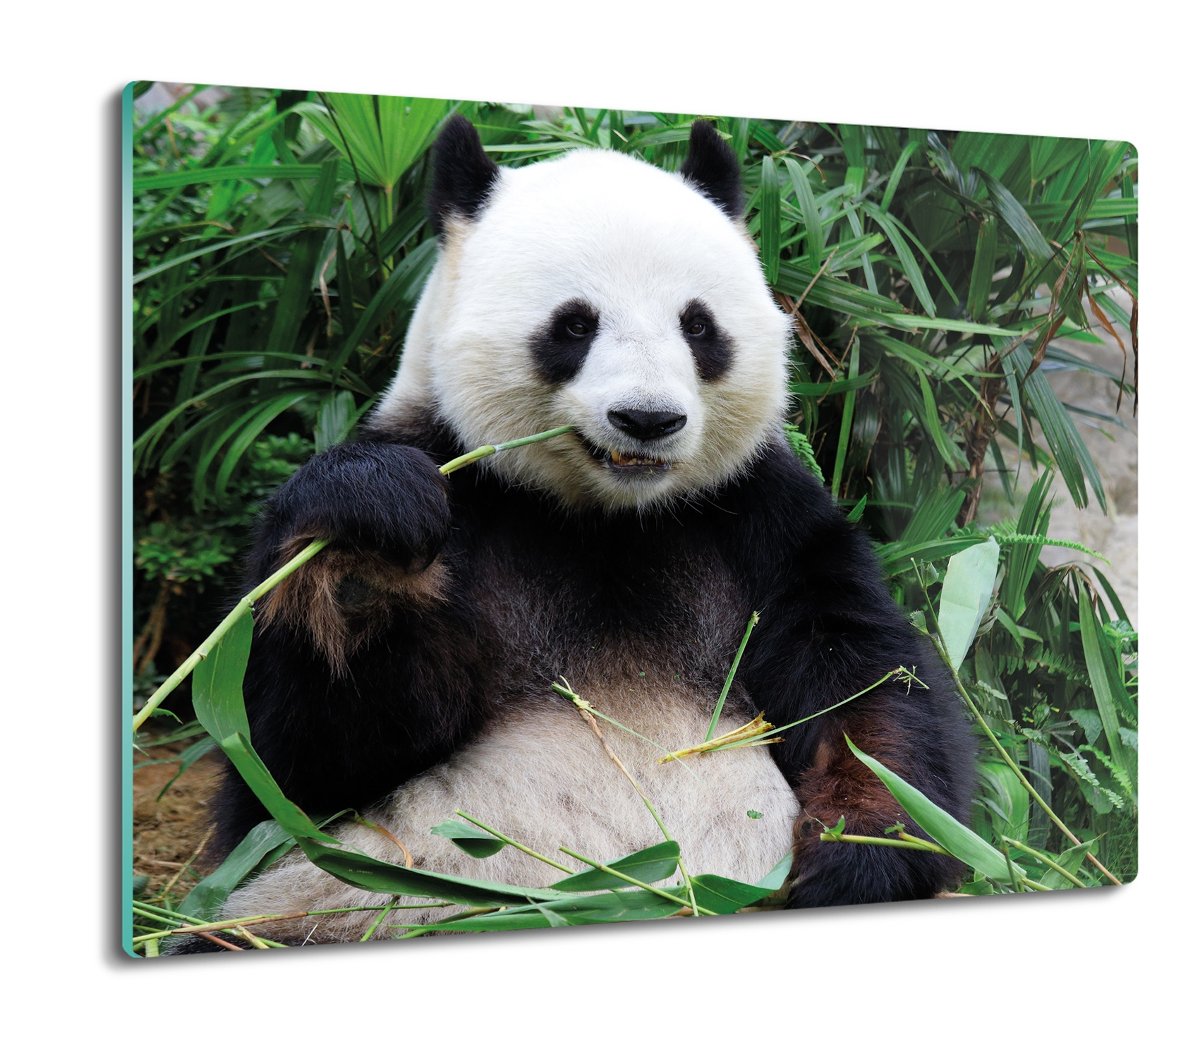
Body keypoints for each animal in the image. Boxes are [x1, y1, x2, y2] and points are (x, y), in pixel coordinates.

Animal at [205, 116, 976, 945]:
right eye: (574, 324)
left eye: (698, 326)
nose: (647, 419)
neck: (606, 517)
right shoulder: (462, 484)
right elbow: (297, 766)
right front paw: (365, 546)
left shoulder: (761, 517)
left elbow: (865, 684)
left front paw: (859, 855)